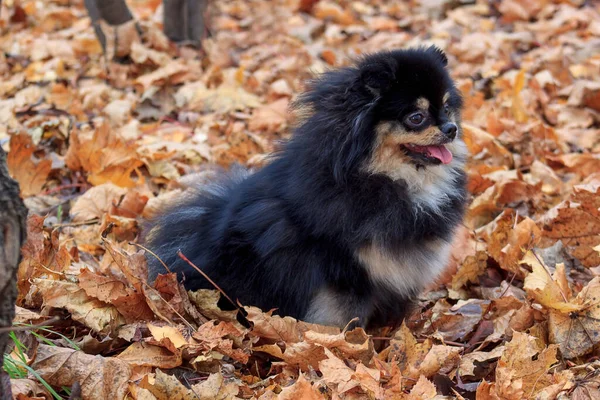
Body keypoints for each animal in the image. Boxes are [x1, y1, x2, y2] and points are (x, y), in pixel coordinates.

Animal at [145, 46, 468, 328]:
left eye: (447, 108)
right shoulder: (343, 270)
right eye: (416, 117)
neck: (386, 178)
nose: (451, 129)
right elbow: (343, 317)